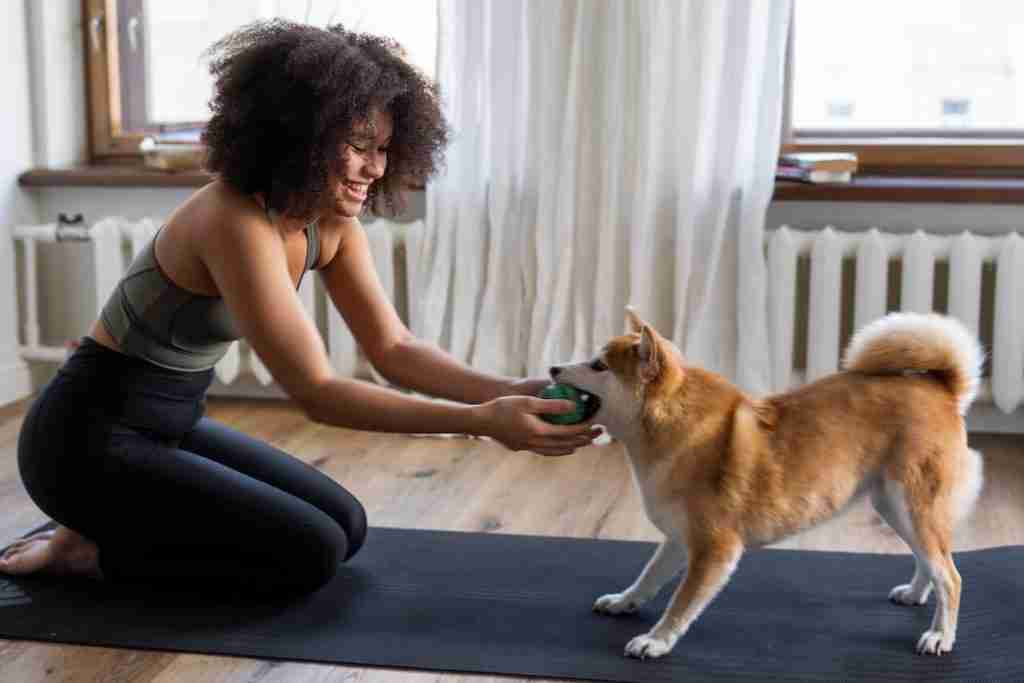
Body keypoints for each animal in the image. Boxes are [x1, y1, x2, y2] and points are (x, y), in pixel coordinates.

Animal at [552, 309, 983, 655]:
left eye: (598, 365)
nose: (554, 369)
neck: (669, 428)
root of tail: (942, 388)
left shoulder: (715, 548)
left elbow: (681, 602)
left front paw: (656, 641)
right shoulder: (678, 538)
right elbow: (649, 576)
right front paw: (624, 602)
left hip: (912, 505)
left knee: (951, 577)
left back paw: (940, 636)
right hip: (895, 507)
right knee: (931, 562)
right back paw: (915, 594)